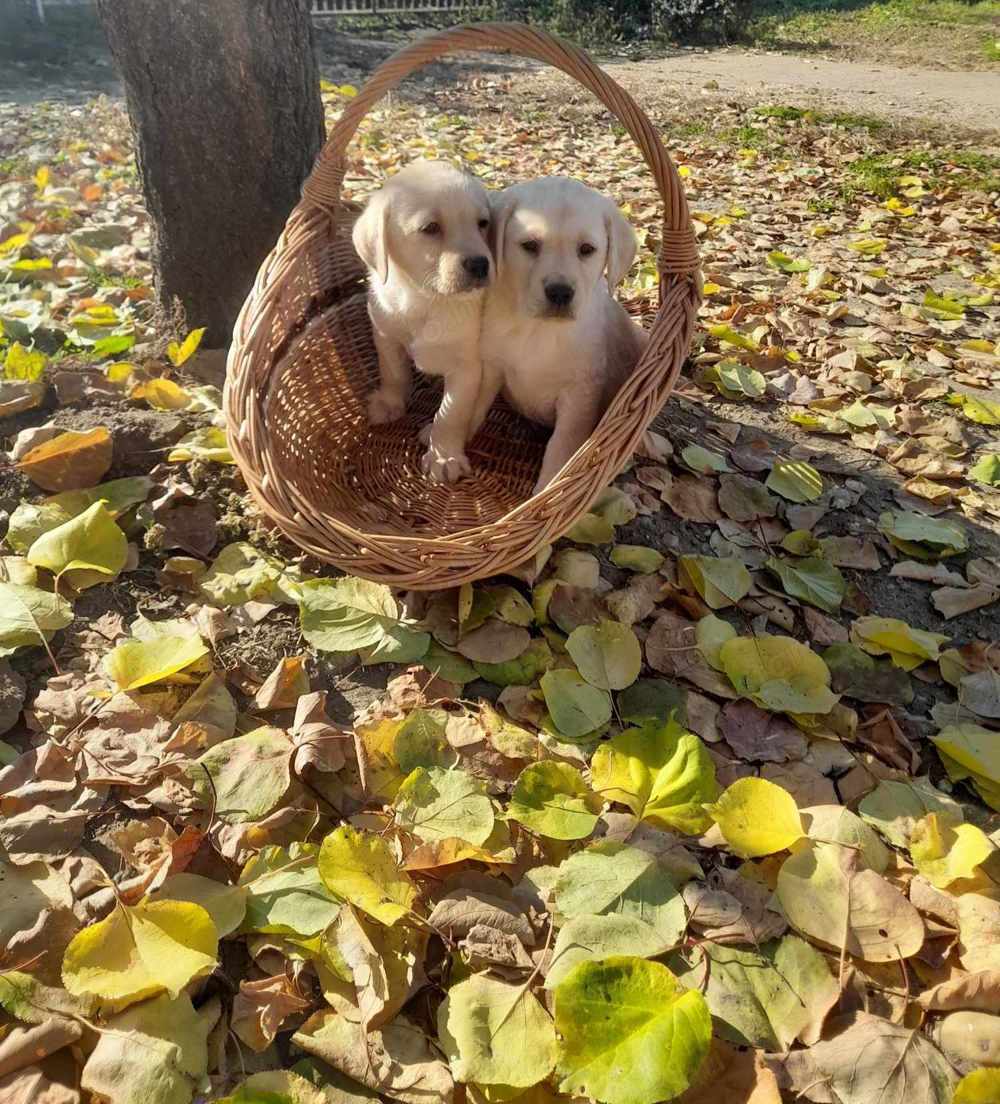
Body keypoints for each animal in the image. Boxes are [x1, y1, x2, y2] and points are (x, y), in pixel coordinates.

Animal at [350, 161, 490, 483]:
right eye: (430, 228)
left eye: (483, 223)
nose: (480, 264)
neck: (426, 297)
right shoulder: (384, 333)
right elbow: (393, 372)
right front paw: (390, 403)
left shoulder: (467, 368)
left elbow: (451, 414)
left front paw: (444, 456)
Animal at [474, 176, 649, 492]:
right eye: (529, 245)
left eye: (587, 249)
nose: (559, 292)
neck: (538, 329)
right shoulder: (490, 367)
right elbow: (473, 408)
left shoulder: (579, 397)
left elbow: (560, 447)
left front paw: (546, 492)